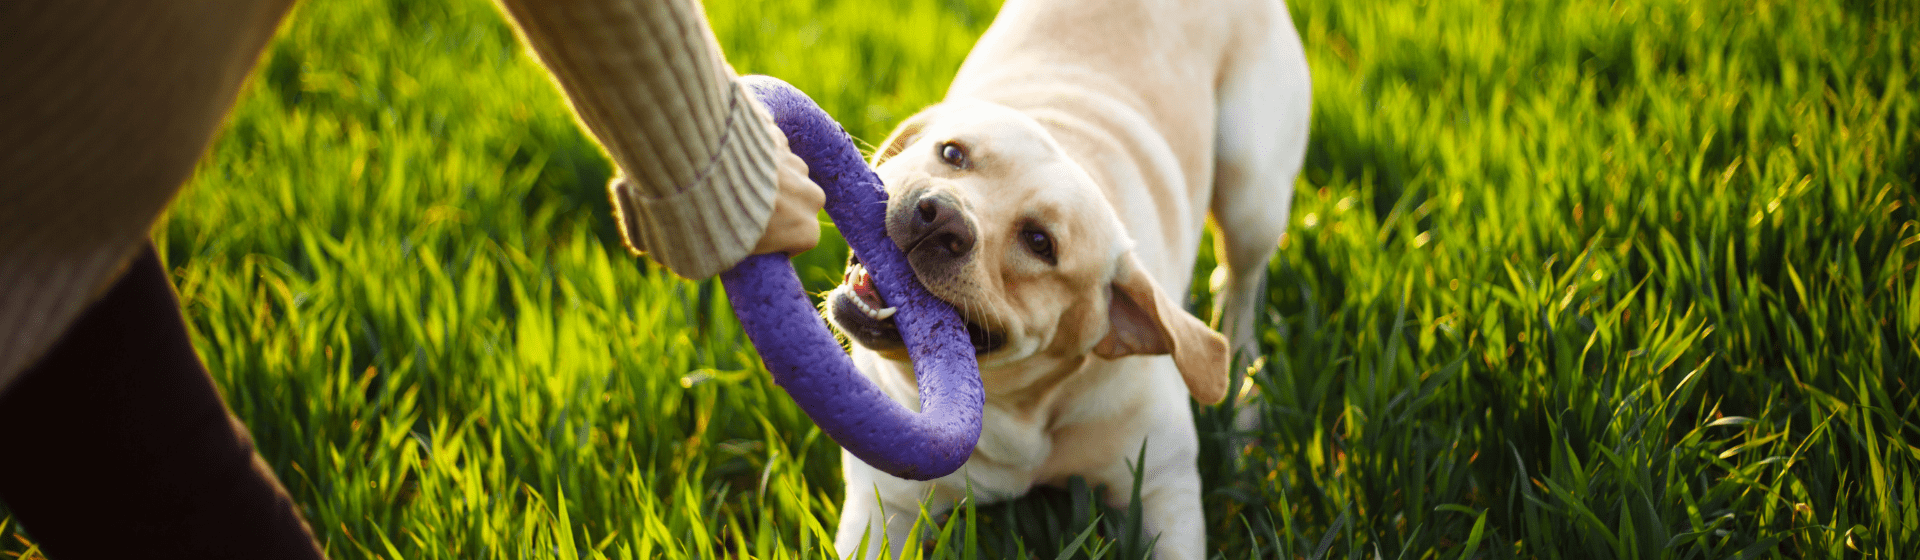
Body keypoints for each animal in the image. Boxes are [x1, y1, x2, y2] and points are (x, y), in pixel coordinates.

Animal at [817, 0, 1313, 556]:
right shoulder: (885, 507)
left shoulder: (1165, 489)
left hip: (1252, 193)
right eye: (951, 154)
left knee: (1240, 289)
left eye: (1040, 243)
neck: (1016, 413)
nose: (939, 217)